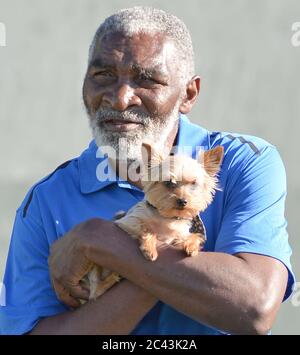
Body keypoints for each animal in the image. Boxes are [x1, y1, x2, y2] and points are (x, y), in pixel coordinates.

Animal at [85, 143, 224, 302]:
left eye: (194, 184)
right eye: (169, 183)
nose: (183, 201)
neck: (168, 218)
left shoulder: (179, 234)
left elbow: (193, 236)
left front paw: (191, 246)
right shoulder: (127, 222)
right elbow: (148, 230)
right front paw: (149, 249)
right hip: (93, 267)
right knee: (94, 291)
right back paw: (111, 280)